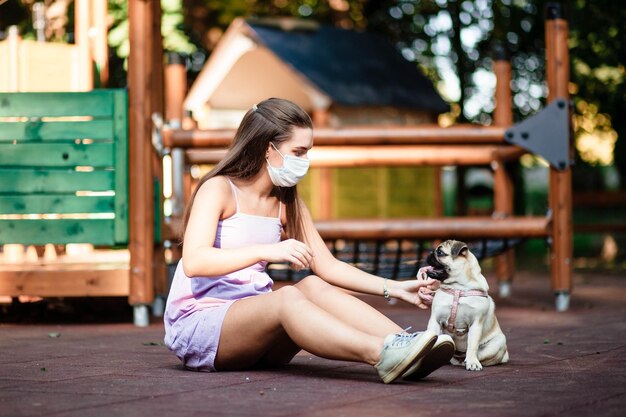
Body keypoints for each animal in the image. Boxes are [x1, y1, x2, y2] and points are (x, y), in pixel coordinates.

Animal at [424, 240, 508, 370]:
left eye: (440, 252)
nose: (429, 252)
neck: (458, 287)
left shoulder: (476, 323)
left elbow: (472, 345)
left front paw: (472, 362)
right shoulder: (435, 320)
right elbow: (434, 340)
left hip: (499, 341)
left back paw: (467, 361)